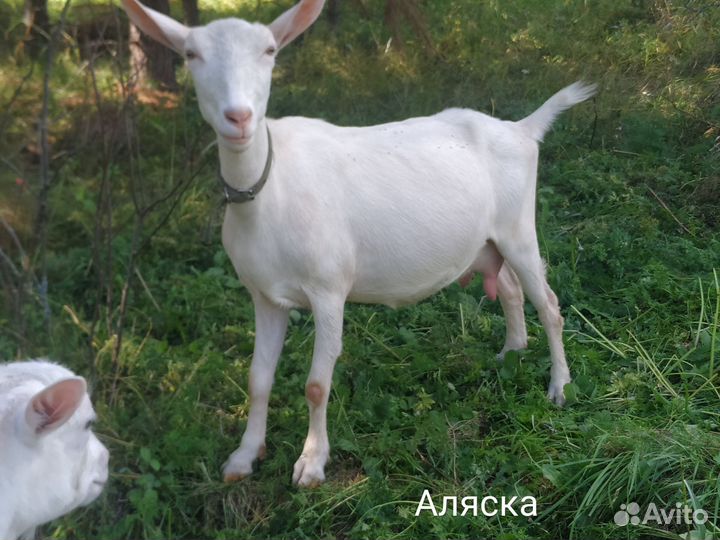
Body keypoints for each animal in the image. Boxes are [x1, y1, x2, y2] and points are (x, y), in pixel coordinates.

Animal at [122, 0, 595, 487]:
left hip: (518, 228)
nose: (238, 118)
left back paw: (559, 387)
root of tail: (523, 130)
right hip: (486, 242)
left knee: (549, 304)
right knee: (511, 289)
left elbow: (316, 384)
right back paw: (510, 353)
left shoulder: (329, 287)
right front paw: (243, 457)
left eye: (270, 50)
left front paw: (311, 464)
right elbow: (257, 378)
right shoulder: (264, 294)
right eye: (190, 54)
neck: (271, 188)